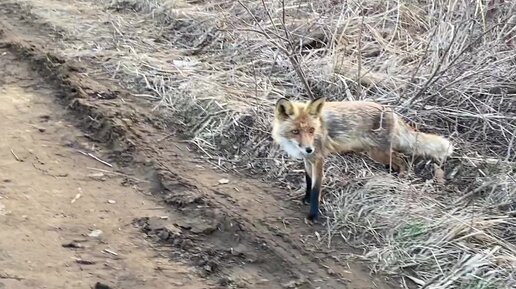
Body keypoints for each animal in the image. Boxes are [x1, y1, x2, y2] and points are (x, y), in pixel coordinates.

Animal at [272, 97, 454, 220]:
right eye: (295, 131)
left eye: (311, 130)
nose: (309, 148)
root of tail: (390, 110)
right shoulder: (308, 159)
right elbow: (309, 181)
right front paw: (305, 198)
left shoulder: (318, 158)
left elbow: (316, 188)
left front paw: (313, 214)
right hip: (377, 153)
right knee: (399, 161)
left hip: (379, 153)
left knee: (403, 161)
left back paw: (399, 179)